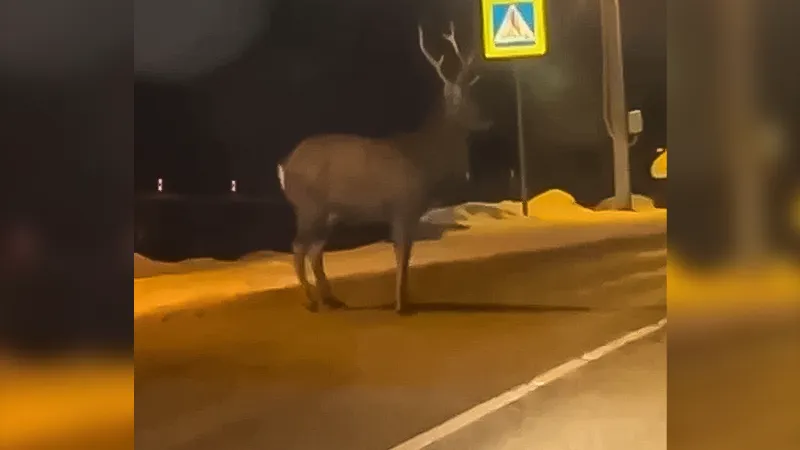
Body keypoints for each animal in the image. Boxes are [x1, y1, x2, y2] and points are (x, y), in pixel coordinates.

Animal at [276, 22, 488, 316]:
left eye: (474, 98)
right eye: (466, 101)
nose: (487, 121)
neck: (428, 161)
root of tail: (285, 165)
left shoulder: (407, 211)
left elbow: (404, 255)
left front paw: (405, 301)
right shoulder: (404, 206)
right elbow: (403, 255)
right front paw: (401, 304)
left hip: (329, 213)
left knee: (315, 251)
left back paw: (333, 300)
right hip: (308, 205)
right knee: (298, 247)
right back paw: (310, 301)